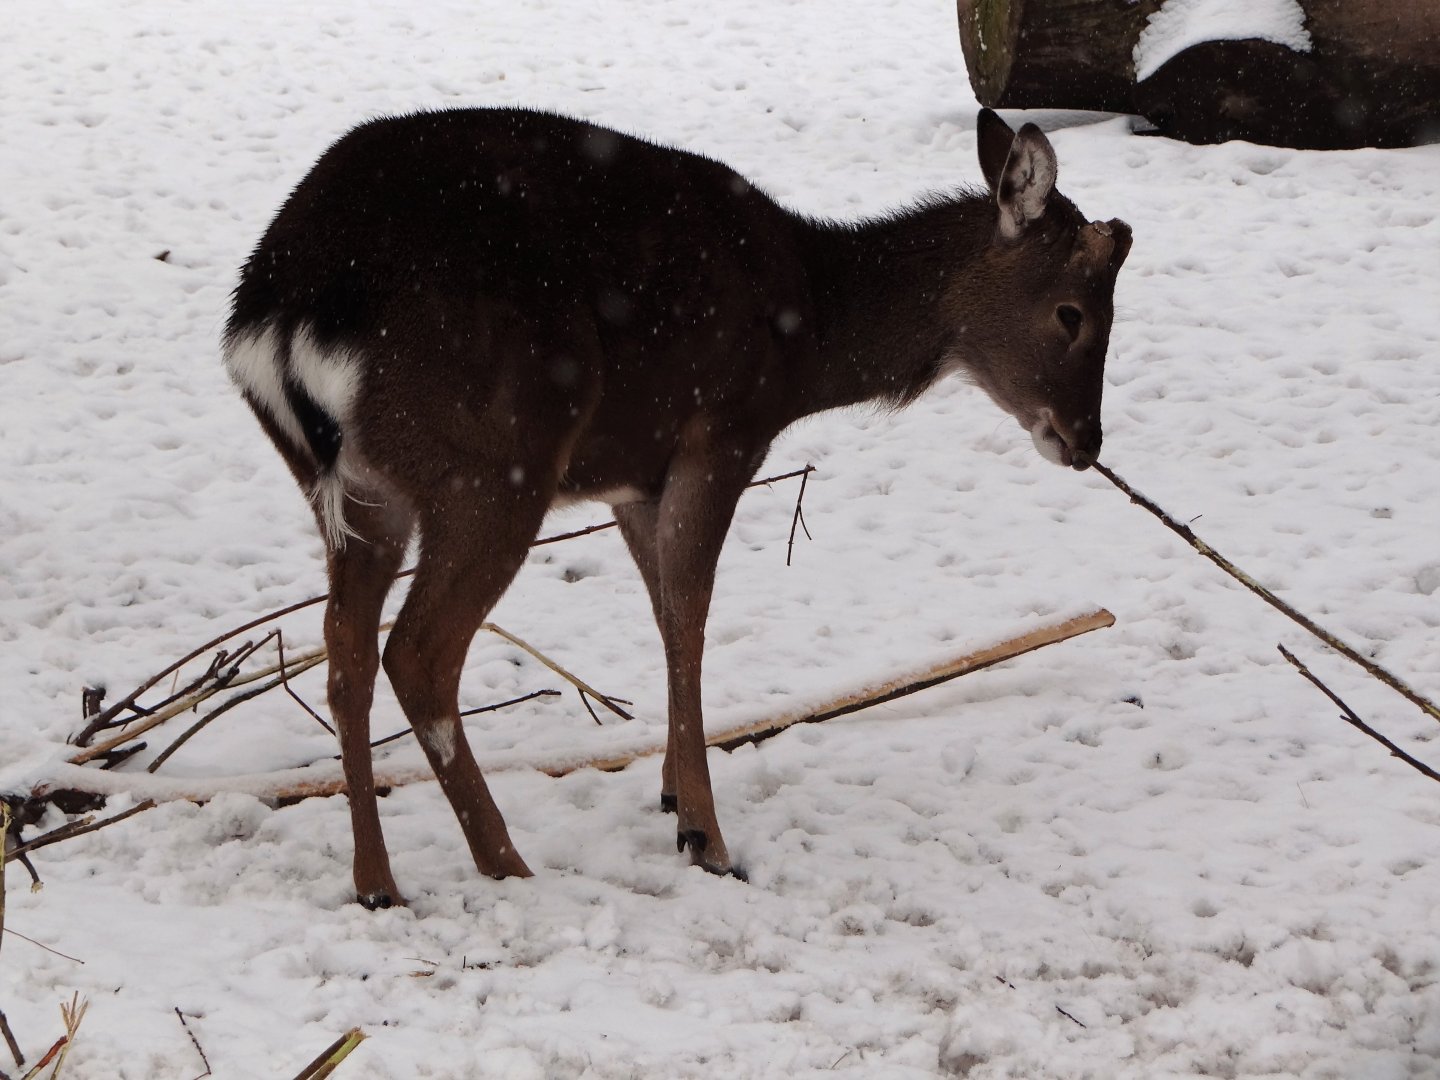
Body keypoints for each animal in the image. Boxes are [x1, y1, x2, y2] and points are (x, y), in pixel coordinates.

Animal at [222, 106, 1131, 908]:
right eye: (1073, 313)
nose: (1085, 441)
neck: (807, 335)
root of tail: (279, 319)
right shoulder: (721, 434)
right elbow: (692, 612)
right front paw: (707, 836)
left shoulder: (635, 476)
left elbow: (662, 613)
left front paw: (667, 792)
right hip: (494, 468)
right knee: (416, 650)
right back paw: (504, 860)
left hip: (357, 493)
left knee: (344, 652)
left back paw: (376, 882)